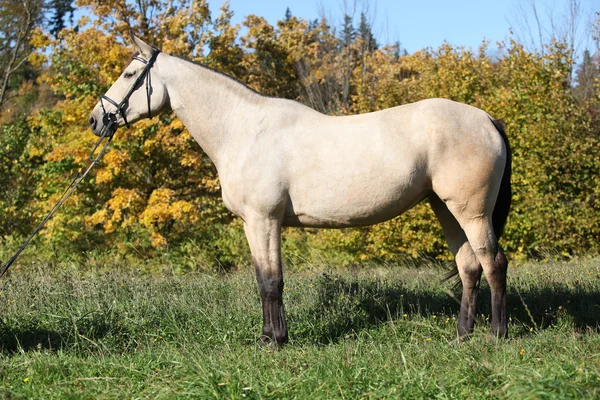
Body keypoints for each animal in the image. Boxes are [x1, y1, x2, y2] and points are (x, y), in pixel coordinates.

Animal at [89, 34, 510, 346]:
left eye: (129, 73)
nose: (96, 120)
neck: (244, 129)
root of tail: (487, 119)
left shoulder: (263, 220)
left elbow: (270, 281)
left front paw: (273, 341)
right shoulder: (260, 223)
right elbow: (265, 279)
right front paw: (270, 336)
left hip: (471, 212)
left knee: (493, 263)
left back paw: (496, 334)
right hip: (445, 208)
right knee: (469, 266)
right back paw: (462, 335)